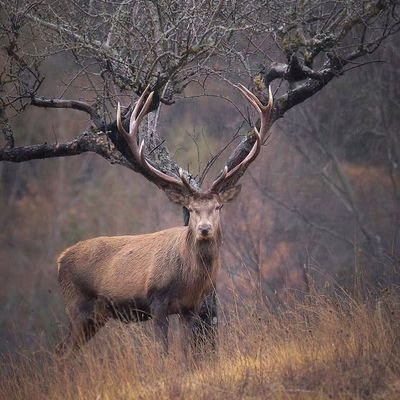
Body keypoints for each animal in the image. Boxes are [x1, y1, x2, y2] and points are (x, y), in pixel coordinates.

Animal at [56, 83, 274, 354]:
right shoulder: (156, 300)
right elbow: (163, 351)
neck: (189, 279)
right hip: (77, 304)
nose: (204, 229)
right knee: (62, 350)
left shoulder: (190, 307)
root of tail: (59, 260)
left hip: (96, 315)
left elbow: (184, 351)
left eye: (218, 207)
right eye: (190, 209)